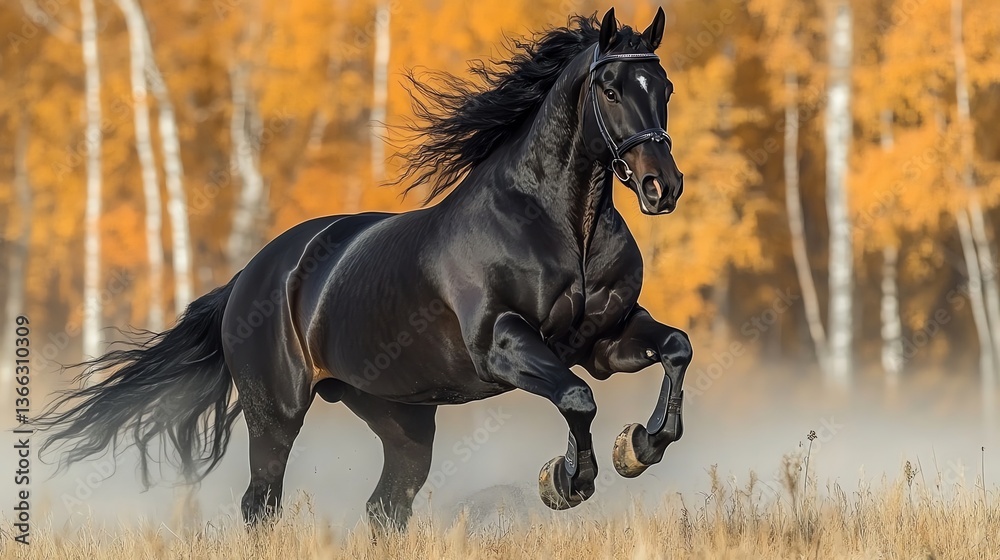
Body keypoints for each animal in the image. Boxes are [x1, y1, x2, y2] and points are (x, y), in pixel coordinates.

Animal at [37, 7, 691, 531]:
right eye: (610, 89)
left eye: (663, 86)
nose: (662, 187)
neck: (559, 226)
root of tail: (251, 277)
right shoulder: (502, 345)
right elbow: (578, 398)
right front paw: (567, 480)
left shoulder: (603, 340)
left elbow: (674, 348)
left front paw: (641, 445)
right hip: (276, 415)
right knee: (262, 504)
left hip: (400, 416)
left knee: (385, 507)